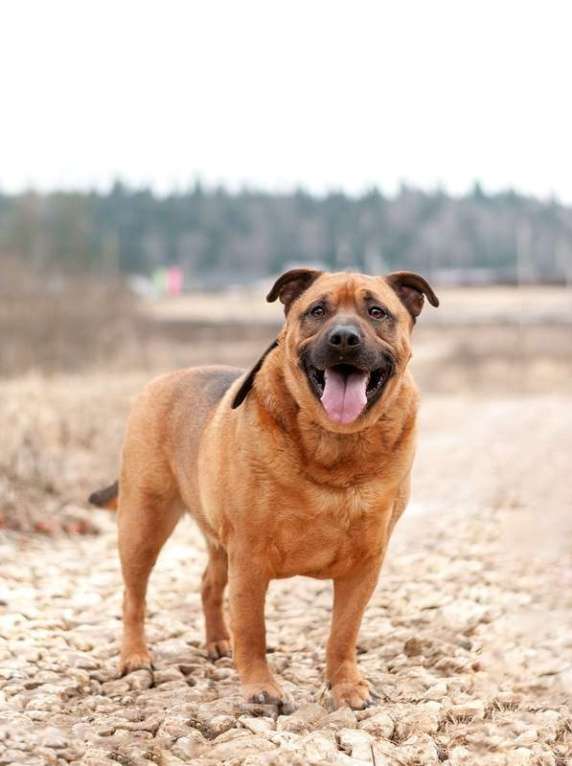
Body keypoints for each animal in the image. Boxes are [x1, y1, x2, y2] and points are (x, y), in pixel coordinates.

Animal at [88, 272, 438, 712]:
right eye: (317, 310)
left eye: (377, 312)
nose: (343, 338)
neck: (336, 444)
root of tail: (162, 380)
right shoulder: (251, 557)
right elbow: (253, 629)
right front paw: (261, 688)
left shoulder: (365, 564)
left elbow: (343, 632)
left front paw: (345, 686)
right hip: (143, 523)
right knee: (134, 596)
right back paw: (135, 657)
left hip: (215, 540)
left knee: (209, 584)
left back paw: (218, 642)